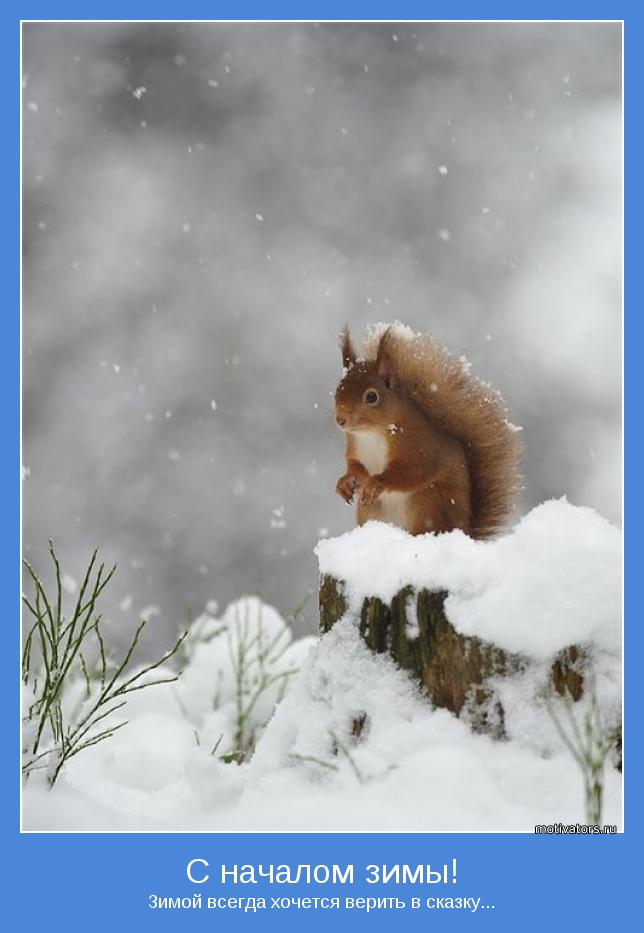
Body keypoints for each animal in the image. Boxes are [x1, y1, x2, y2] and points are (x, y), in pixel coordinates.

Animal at [334, 322, 520, 536]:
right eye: (338, 390)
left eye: (371, 397)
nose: (340, 420)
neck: (372, 434)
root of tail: (463, 530)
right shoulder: (355, 448)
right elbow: (355, 466)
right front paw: (345, 482)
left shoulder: (417, 443)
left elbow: (414, 470)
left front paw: (377, 482)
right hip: (370, 510)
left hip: (429, 502)